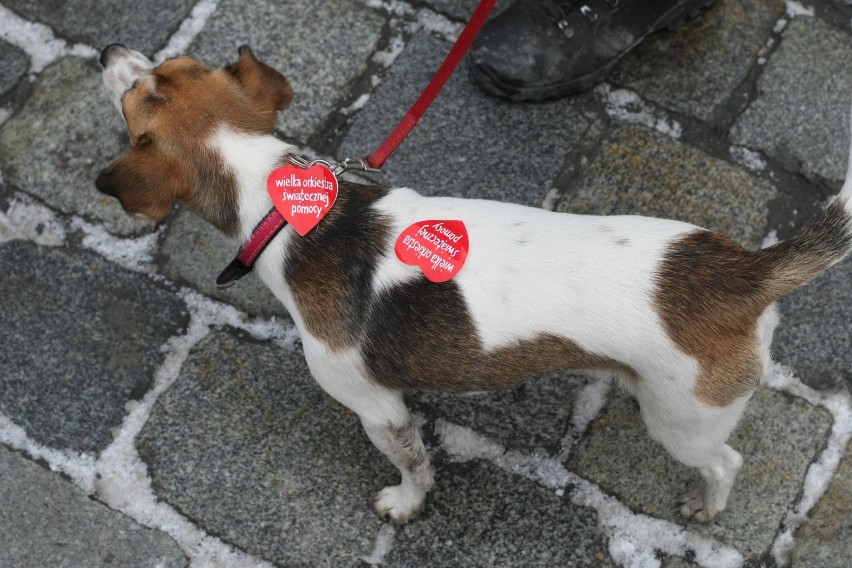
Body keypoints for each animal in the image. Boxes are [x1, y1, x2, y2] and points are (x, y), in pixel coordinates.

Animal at [95, 43, 852, 524]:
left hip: (683, 421)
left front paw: (406, 506)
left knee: (725, 462)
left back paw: (707, 505)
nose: (106, 52)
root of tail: (745, 272)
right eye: (169, 70)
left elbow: (414, 465)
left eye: (135, 97)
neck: (285, 208)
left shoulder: (378, 408)